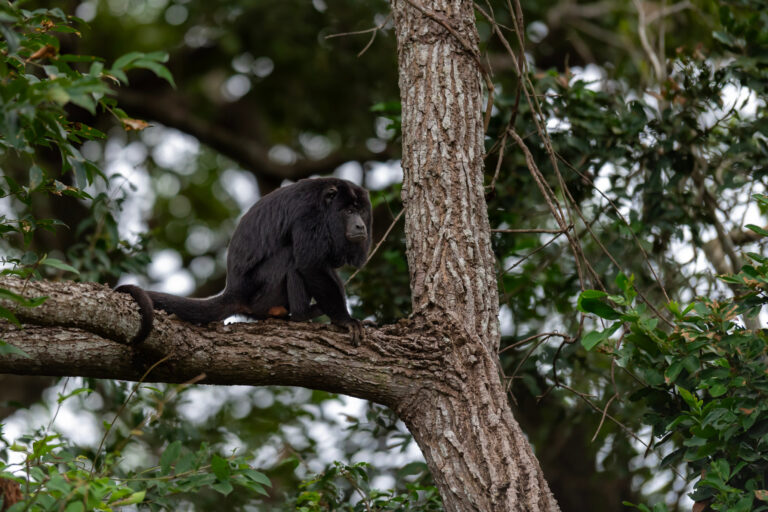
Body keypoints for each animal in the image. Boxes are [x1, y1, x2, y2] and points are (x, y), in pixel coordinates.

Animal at [116, 177, 372, 346]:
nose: (361, 226)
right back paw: (302, 314)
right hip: (262, 292)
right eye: (348, 211)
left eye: (360, 211)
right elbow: (310, 265)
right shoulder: (309, 216)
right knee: (292, 256)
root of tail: (234, 290)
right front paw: (345, 320)